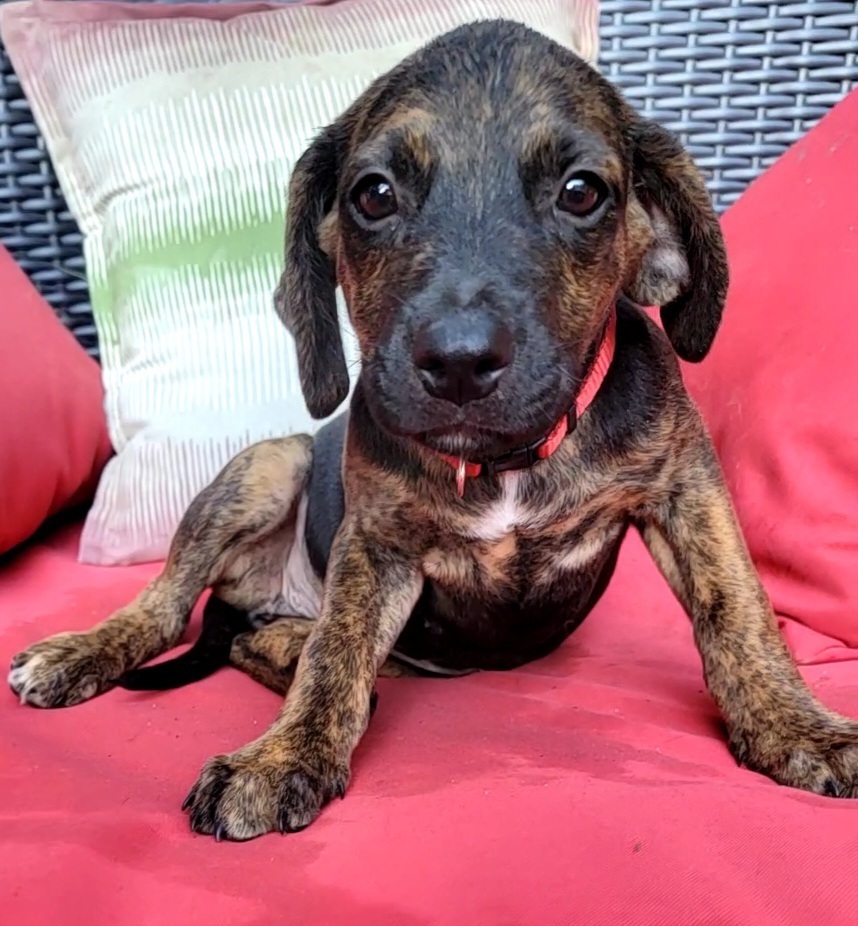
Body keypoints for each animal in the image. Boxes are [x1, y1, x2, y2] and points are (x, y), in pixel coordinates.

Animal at [10, 18, 856, 844]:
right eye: (374, 195)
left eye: (582, 192)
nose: (457, 361)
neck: (505, 461)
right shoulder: (374, 537)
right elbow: (338, 649)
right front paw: (285, 756)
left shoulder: (686, 488)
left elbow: (738, 607)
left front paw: (795, 726)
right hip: (269, 465)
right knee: (173, 606)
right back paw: (85, 651)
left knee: (262, 638)